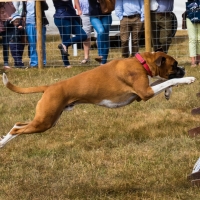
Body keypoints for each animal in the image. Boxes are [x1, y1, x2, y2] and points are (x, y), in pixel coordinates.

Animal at [0, 51, 196, 148]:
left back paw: (2, 143)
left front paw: (168, 92)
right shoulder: (146, 93)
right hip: (45, 121)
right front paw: (188, 79)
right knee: (17, 129)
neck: (141, 63)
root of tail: (49, 87)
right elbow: (169, 79)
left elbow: (163, 81)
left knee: (17, 125)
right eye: (175, 65)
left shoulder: (142, 94)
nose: (184, 68)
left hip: (47, 119)